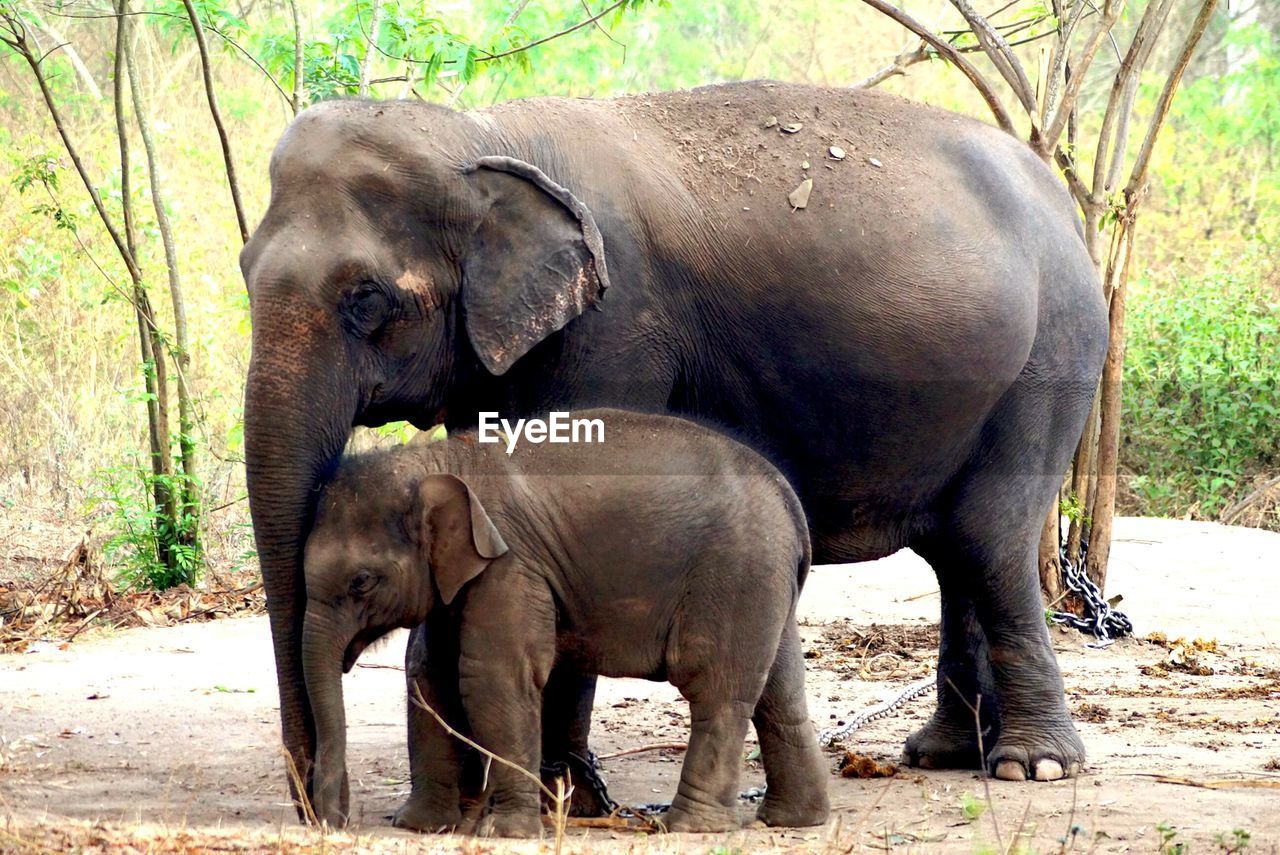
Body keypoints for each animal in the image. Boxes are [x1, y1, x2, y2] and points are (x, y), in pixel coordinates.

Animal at [304, 407, 834, 834]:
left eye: (361, 582)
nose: (333, 822)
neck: (439, 461)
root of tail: (791, 505)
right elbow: (429, 672)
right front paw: (418, 826)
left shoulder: (511, 566)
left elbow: (494, 676)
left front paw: (506, 833)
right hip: (764, 585)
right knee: (779, 690)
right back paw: (794, 819)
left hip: (734, 576)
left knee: (715, 687)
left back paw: (686, 827)